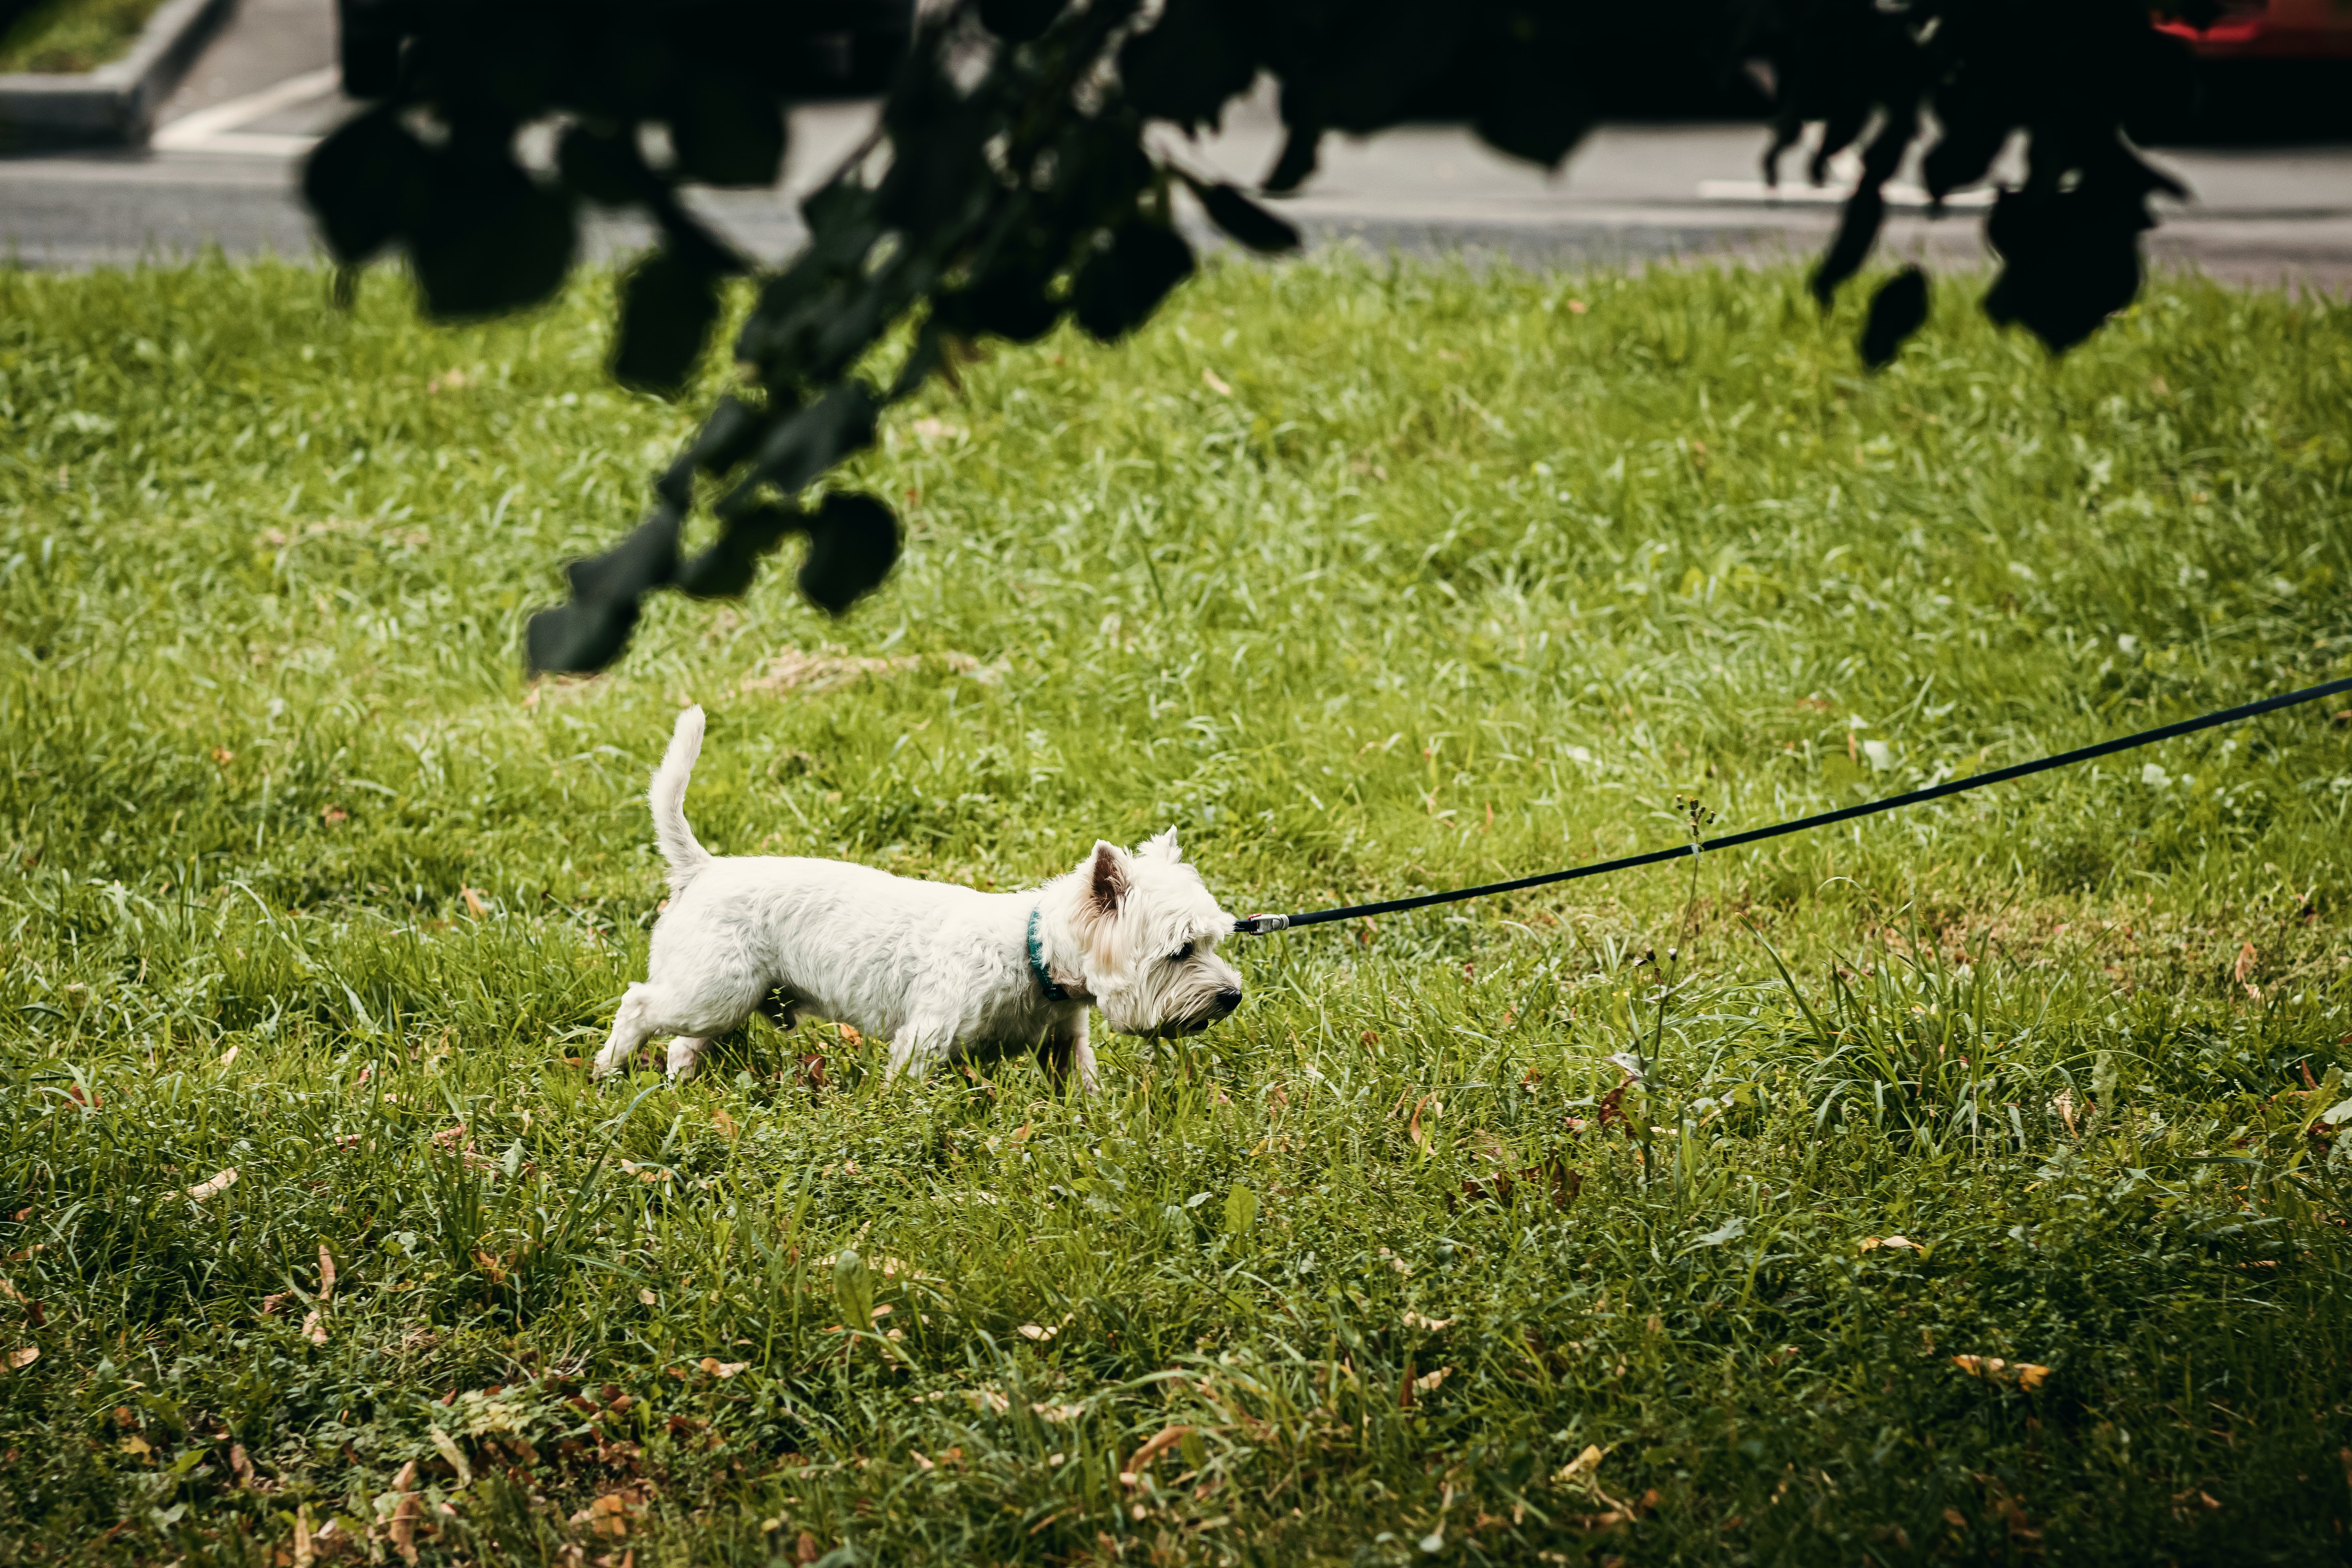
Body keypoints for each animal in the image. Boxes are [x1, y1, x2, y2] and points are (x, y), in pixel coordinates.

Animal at [588, 710, 1251, 1091]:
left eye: (1215, 940)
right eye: (1180, 951)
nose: (1233, 996)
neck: (1037, 957)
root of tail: (703, 868)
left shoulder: (1065, 1045)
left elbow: (1080, 1089)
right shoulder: (924, 1041)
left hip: (727, 1001)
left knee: (682, 1041)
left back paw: (679, 1085)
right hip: (713, 988)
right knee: (638, 1006)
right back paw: (607, 1070)